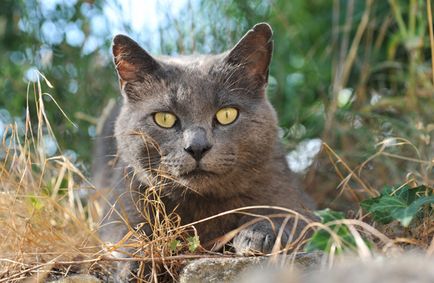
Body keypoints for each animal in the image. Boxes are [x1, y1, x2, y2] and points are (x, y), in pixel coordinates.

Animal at [94, 22, 316, 282]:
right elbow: (126, 234)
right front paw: (136, 265)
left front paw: (257, 236)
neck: (203, 208)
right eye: (164, 118)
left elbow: (286, 215)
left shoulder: (292, 194)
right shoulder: (122, 199)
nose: (197, 147)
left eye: (227, 114)